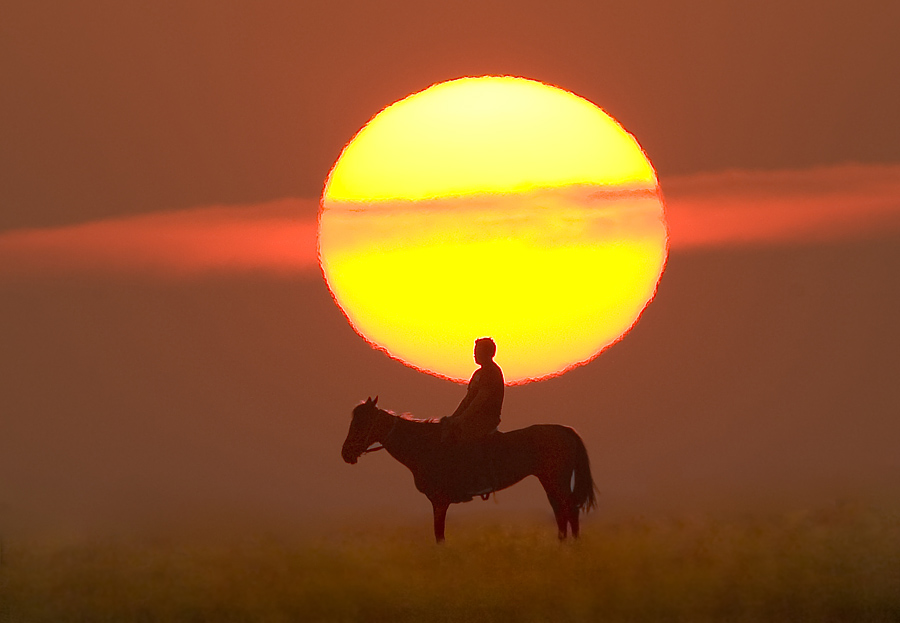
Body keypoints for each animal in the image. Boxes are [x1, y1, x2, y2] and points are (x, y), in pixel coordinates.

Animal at [340, 398, 596, 544]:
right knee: (561, 511)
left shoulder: (439, 501)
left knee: (569, 510)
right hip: (549, 480)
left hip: (556, 480)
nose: (345, 453)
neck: (423, 446)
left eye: (361, 423)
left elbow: (439, 536)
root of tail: (565, 430)